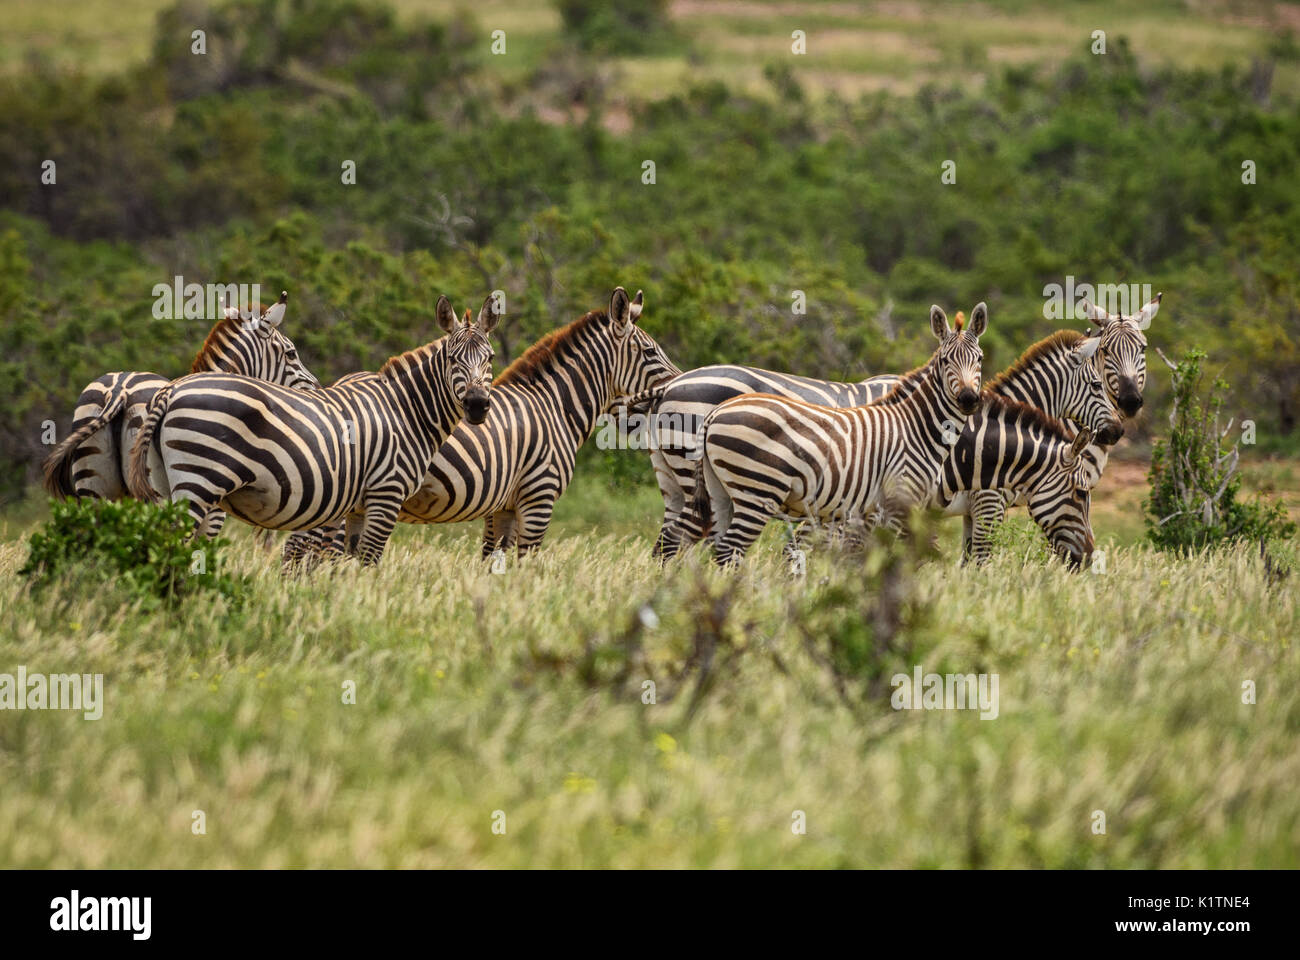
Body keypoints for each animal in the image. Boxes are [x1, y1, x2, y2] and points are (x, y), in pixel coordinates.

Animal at [125, 294, 498, 567]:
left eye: (491, 358)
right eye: (452, 359)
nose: (478, 404)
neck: (406, 411)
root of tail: (171, 390)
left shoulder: (358, 506)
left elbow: (348, 563)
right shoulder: (386, 493)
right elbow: (368, 563)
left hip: (166, 485)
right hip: (199, 483)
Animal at [284, 285, 681, 563]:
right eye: (650, 352)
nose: (679, 386)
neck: (553, 405)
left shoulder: (501, 508)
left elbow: (493, 565)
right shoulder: (538, 496)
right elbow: (526, 567)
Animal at [689, 303, 987, 566]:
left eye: (980, 359)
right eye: (945, 360)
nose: (969, 399)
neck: (917, 428)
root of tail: (715, 413)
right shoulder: (899, 498)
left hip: (720, 493)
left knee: (716, 546)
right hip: (758, 489)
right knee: (730, 549)